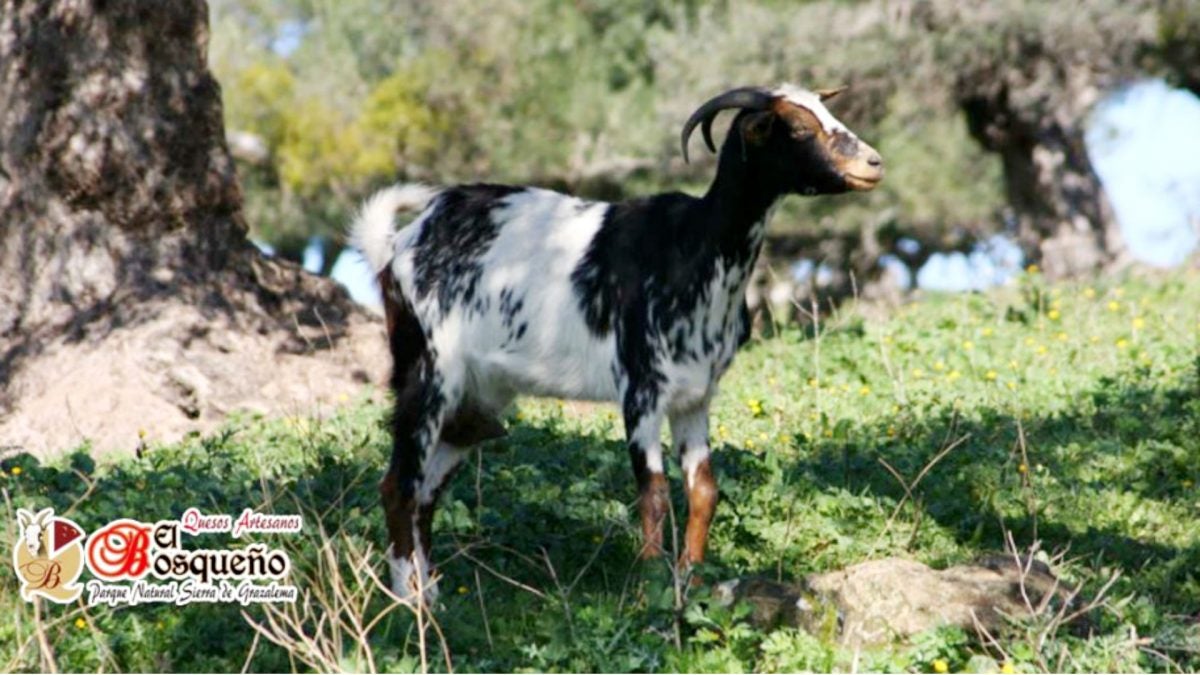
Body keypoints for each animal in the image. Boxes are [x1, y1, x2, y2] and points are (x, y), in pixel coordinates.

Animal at [350, 82, 888, 598]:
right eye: (796, 129)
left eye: (828, 111)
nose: (873, 162)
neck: (694, 247)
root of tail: (399, 244)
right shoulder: (641, 389)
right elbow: (653, 492)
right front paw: (649, 588)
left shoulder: (695, 396)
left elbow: (703, 491)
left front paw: (691, 584)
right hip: (429, 371)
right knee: (398, 485)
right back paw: (407, 601)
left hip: (476, 399)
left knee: (427, 491)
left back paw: (432, 594)